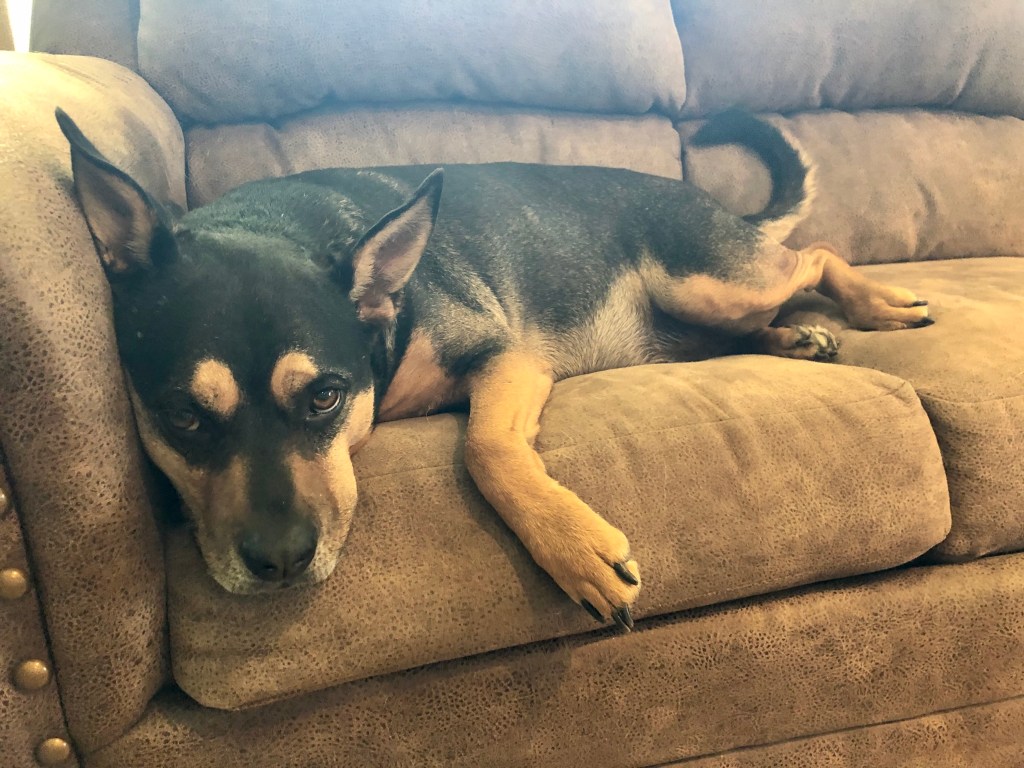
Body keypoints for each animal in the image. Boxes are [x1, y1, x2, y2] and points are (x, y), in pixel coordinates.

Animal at [57, 108, 931, 631]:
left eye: (326, 398)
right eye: (183, 415)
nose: (279, 563)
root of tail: (710, 203)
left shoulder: (507, 353)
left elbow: (486, 447)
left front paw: (575, 547)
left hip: (708, 276)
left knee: (816, 253)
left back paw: (879, 304)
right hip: (699, 313)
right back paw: (799, 341)